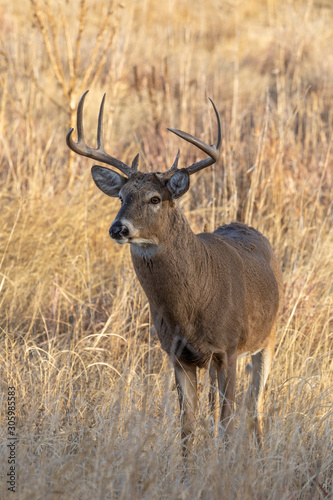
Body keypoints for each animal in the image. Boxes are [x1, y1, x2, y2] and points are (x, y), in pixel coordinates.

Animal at [66, 90, 282, 454]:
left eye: (155, 198)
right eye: (121, 197)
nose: (118, 228)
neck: (192, 303)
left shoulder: (229, 349)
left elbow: (228, 422)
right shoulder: (177, 354)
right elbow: (188, 428)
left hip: (266, 338)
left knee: (255, 407)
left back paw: (262, 455)